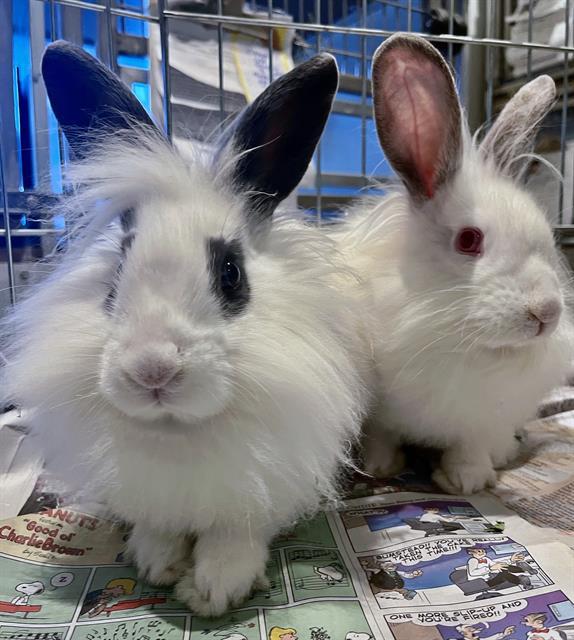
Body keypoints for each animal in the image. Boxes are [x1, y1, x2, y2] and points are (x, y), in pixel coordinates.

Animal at [0, 42, 370, 616]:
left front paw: (214, 589)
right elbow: (158, 525)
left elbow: (235, 536)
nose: (152, 369)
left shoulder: (262, 486)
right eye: (117, 272)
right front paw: (157, 562)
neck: (178, 431)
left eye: (231, 273)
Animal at [335, 33, 574, 495]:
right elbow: (382, 433)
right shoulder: (380, 408)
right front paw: (379, 467)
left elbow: (471, 442)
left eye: (547, 236)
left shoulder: (482, 413)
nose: (547, 312)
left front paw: (467, 481)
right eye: (468, 240)